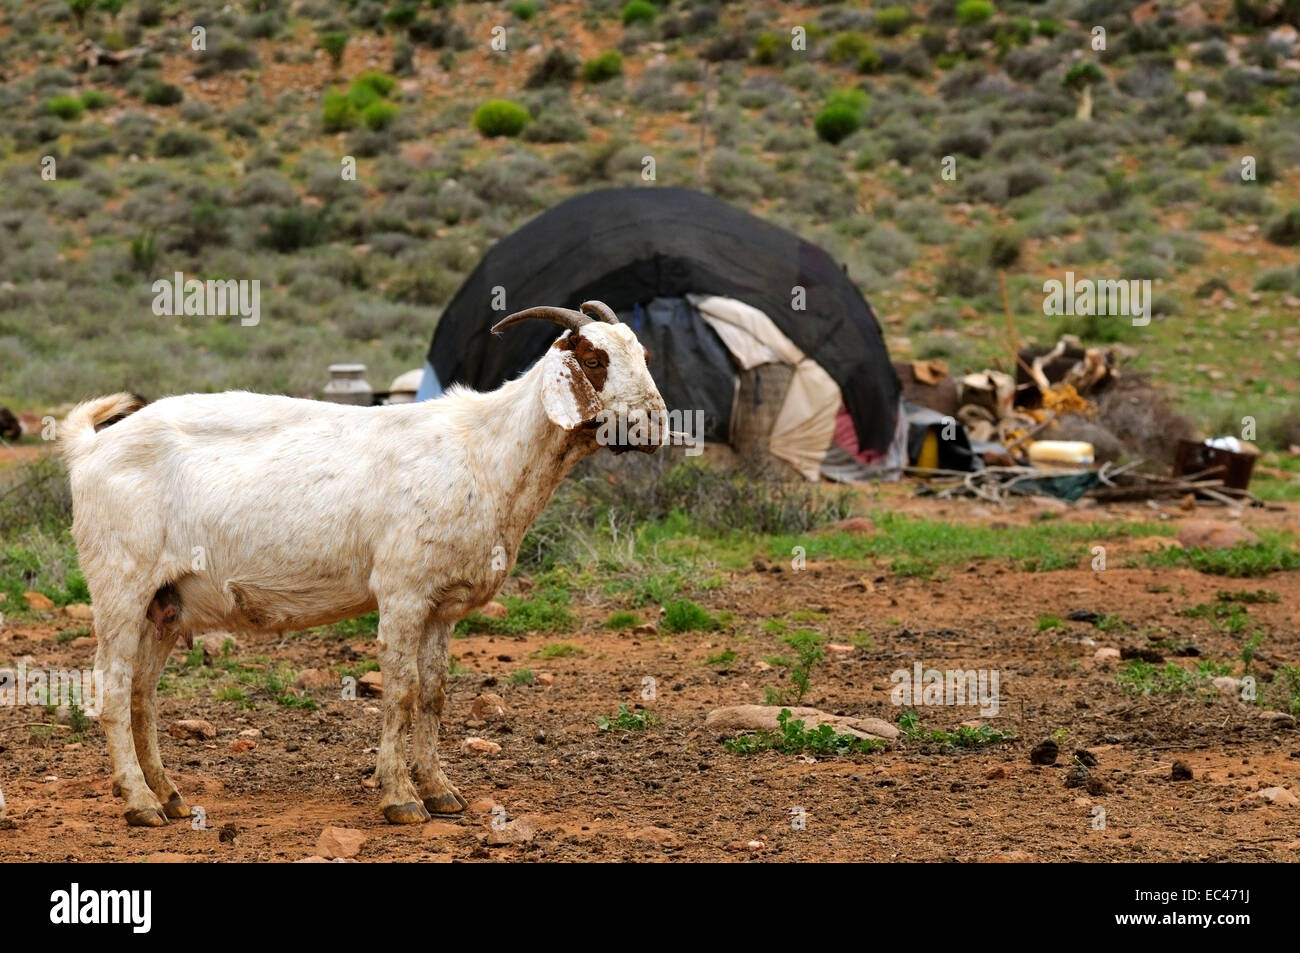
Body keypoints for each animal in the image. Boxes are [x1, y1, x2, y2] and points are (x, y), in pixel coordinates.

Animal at [62, 301, 665, 821]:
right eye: (594, 359)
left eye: (644, 354)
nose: (657, 426)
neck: (484, 453)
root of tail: (89, 448)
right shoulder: (403, 591)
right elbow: (400, 692)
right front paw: (400, 798)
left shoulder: (442, 606)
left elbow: (434, 694)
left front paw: (441, 791)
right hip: (119, 585)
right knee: (111, 689)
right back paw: (139, 804)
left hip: (165, 605)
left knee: (141, 694)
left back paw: (169, 795)